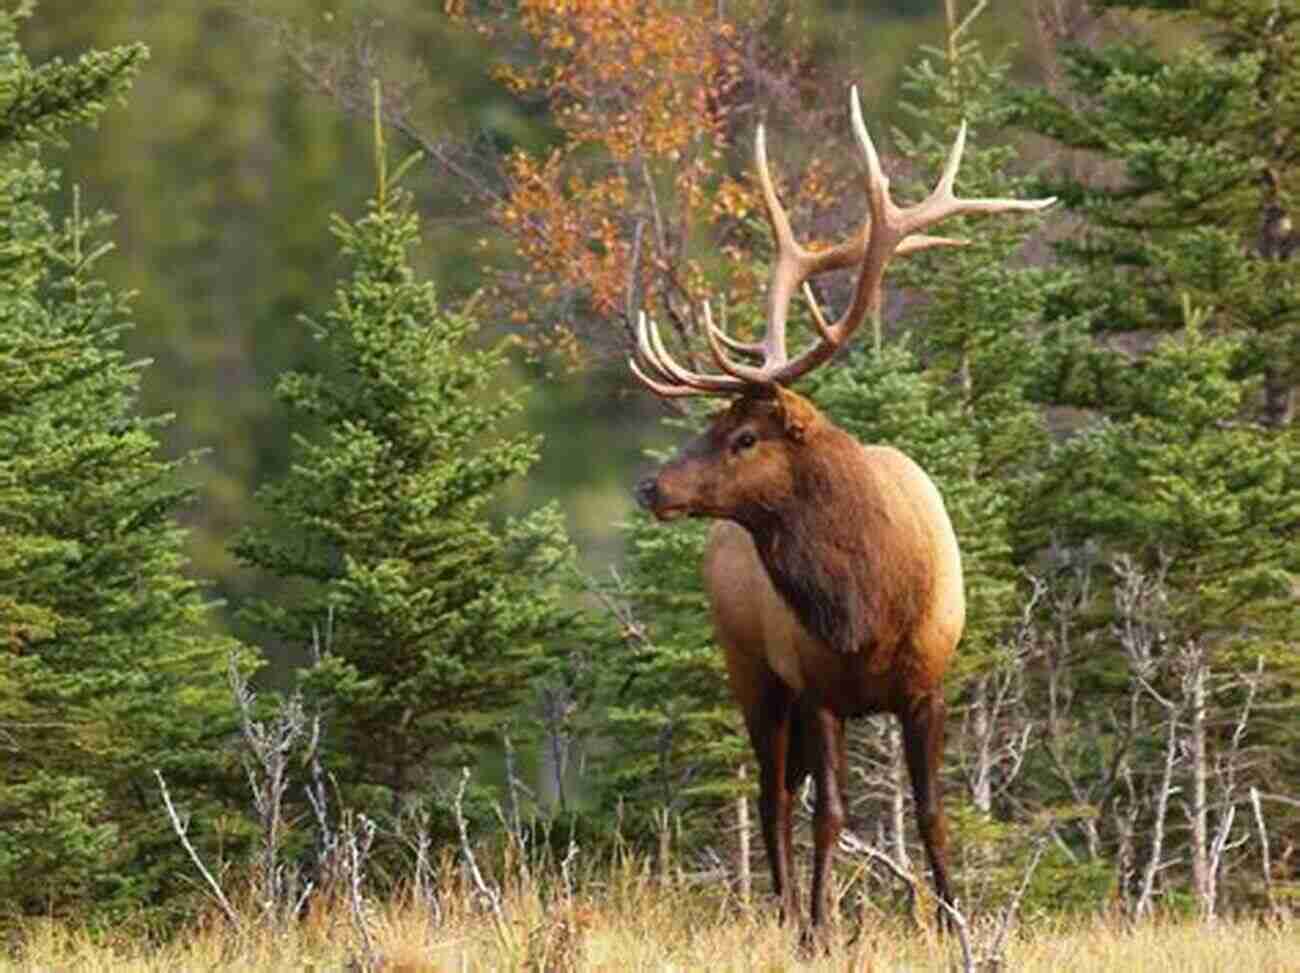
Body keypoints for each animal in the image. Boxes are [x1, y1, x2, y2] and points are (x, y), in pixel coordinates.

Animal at [629, 91, 1055, 936]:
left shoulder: (928, 685)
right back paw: (787, 912)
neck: (870, 603)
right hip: (753, 672)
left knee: (782, 794)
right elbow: (829, 815)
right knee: (773, 798)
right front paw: (820, 929)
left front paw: (953, 920)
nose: (653, 487)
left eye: (744, 435)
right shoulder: (819, 686)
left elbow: (931, 814)